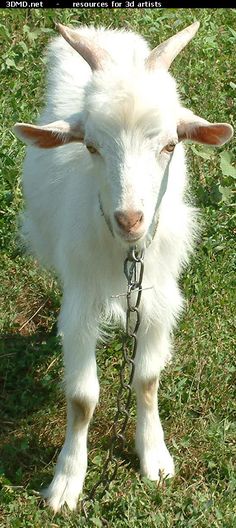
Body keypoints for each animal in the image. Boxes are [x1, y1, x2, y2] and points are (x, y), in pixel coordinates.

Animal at [14, 21, 232, 512]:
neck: (126, 254)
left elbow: (147, 379)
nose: (129, 218)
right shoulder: (80, 303)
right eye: (92, 146)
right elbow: (82, 398)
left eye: (170, 145)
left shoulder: (159, 297)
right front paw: (66, 481)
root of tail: (105, 32)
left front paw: (155, 458)